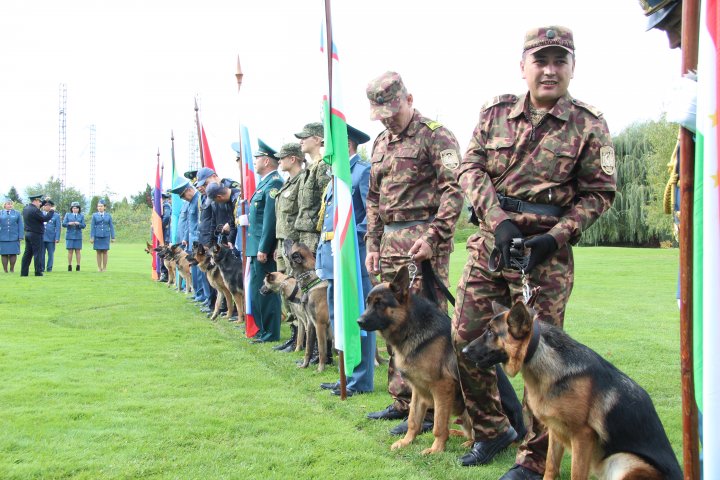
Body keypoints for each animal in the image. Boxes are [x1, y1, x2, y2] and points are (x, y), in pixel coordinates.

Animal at [286, 242, 332, 374]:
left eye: (292, 245)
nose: (287, 240)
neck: (312, 283)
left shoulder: (320, 325)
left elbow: (321, 349)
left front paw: (320, 369)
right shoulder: (311, 324)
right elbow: (308, 348)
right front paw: (304, 365)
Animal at [356, 264, 472, 456]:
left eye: (380, 303)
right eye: (368, 302)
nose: (359, 321)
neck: (409, 327)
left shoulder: (442, 388)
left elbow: (438, 424)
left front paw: (436, 449)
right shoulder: (418, 389)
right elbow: (413, 420)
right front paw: (406, 442)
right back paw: (458, 435)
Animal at [462, 302, 680, 478]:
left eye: (491, 332)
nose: (463, 351)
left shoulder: (582, 437)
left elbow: (576, 475)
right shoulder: (555, 430)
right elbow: (550, 467)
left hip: (624, 461)